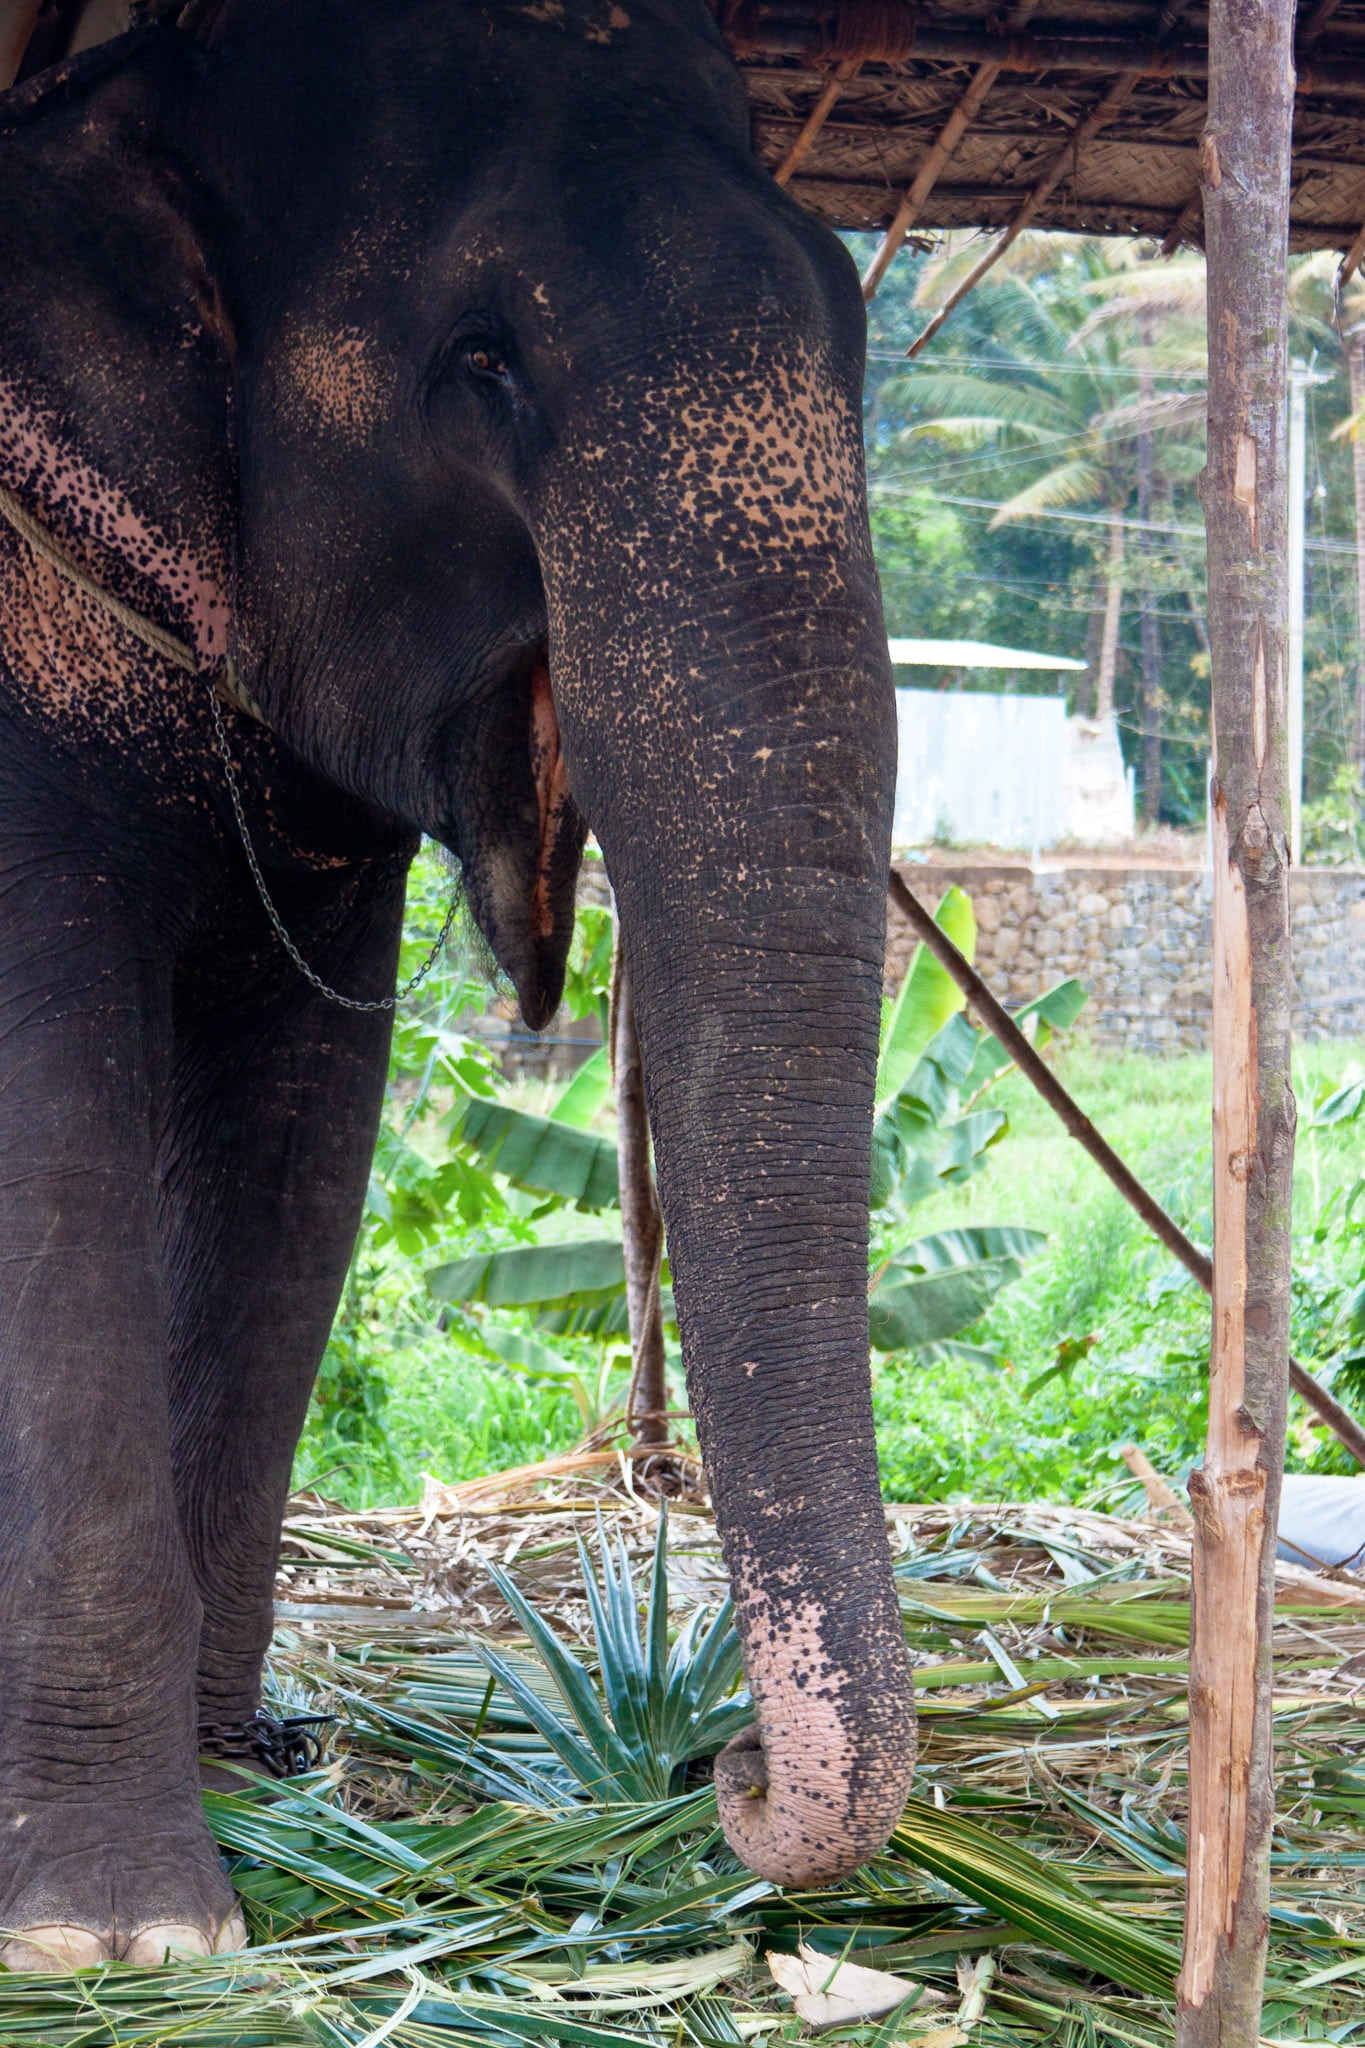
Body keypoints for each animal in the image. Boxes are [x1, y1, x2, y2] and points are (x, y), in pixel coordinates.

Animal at [0, 0, 913, 1969]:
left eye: (850, 310)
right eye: (480, 361)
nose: (722, 1770)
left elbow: (294, 1148)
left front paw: (251, 1798)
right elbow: (46, 1143)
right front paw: (121, 1932)